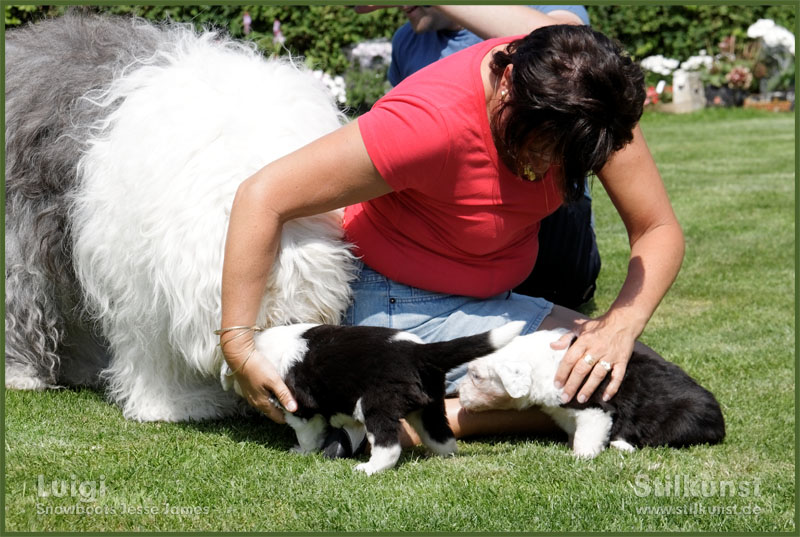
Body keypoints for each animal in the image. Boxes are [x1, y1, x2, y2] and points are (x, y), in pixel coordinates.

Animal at [222, 320, 528, 472]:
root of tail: (419, 353)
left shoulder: (301, 408)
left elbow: (308, 434)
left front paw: (301, 451)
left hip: (377, 405)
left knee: (389, 447)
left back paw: (369, 469)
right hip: (430, 406)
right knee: (443, 437)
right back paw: (441, 457)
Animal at [456, 328, 724, 458]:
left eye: (476, 376)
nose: (458, 394)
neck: (542, 364)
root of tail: (721, 424)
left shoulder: (595, 408)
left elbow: (586, 437)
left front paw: (581, 456)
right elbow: (572, 429)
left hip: (684, 419)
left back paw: (622, 445)